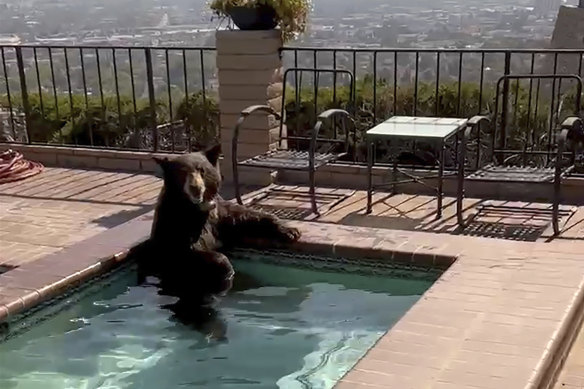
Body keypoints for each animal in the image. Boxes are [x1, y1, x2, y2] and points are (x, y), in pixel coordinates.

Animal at [143, 144, 302, 302]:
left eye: (202, 170)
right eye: (182, 172)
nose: (195, 188)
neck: (197, 208)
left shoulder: (218, 214)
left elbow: (243, 217)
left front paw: (290, 231)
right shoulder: (174, 224)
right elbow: (184, 252)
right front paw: (226, 267)